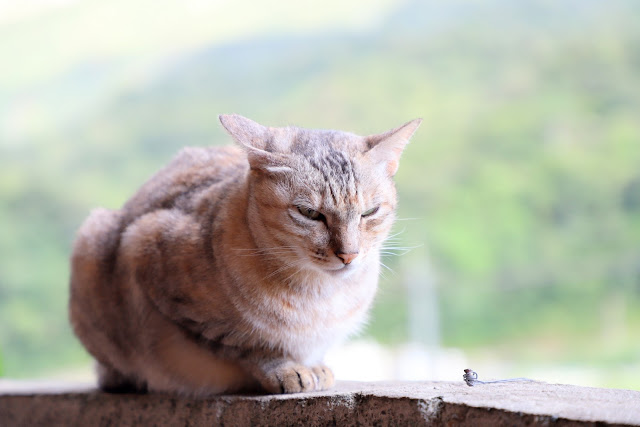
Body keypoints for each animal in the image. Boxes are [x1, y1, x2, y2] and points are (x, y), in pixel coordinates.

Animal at [69, 114, 420, 398]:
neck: (321, 296)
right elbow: (246, 345)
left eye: (370, 212)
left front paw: (316, 366)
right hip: (92, 242)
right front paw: (288, 369)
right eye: (310, 213)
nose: (349, 254)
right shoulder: (147, 254)